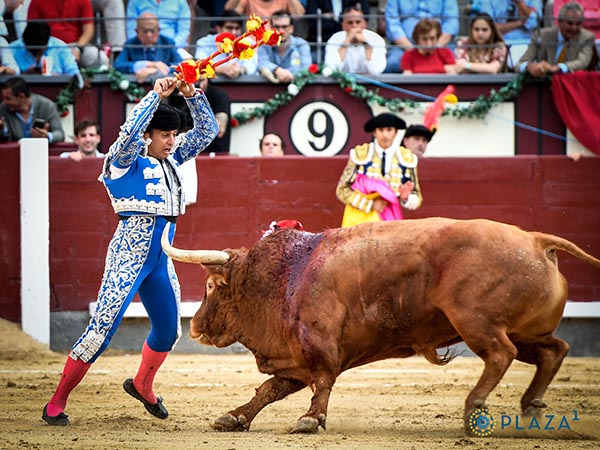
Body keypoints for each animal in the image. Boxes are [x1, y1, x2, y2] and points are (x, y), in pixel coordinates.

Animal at [161, 219, 600, 436]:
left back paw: (476, 407)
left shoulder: (319, 348)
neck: (287, 275)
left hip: (476, 323)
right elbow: (269, 389)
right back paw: (532, 407)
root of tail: (534, 240)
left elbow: (322, 382)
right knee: (554, 350)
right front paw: (233, 418)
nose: (194, 327)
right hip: (522, 330)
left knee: (500, 355)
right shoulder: (294, 357)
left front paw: (310, 421)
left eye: (212, 286)